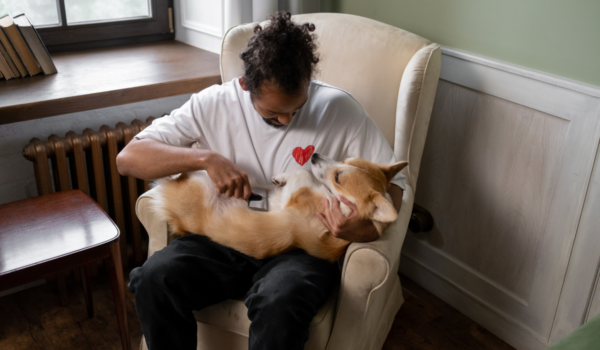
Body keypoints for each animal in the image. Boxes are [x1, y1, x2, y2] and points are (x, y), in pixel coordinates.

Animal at [149, 153, 408, 262]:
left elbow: (303, 172)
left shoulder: (297, 197)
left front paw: (282, 177)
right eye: (344, 160)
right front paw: (280, 178)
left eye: (338, 178)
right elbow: (301, 172)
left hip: (199, 184)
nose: (314, 155)